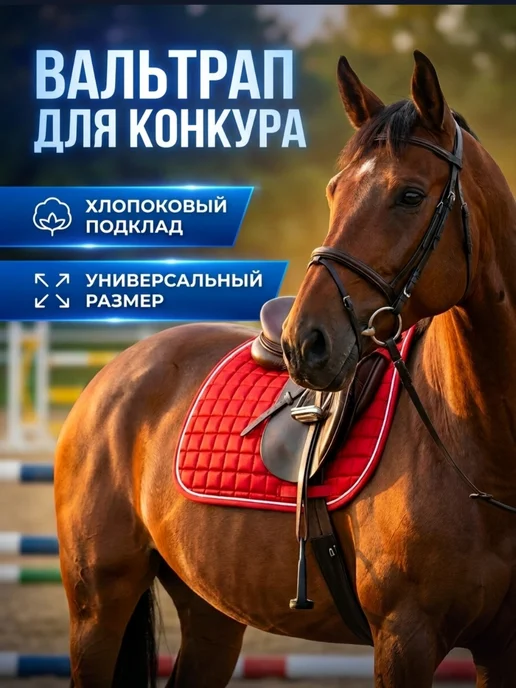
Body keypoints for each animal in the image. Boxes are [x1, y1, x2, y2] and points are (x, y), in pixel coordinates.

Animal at [55, 50, 516, 687]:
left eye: (410, 196)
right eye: (333, 190)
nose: (305, 341)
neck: (482, 451)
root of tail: (116, 372)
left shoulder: (501, 647)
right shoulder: (405, 639)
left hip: (212, 612)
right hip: (97, 610)